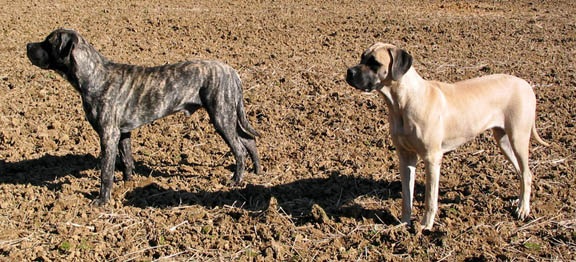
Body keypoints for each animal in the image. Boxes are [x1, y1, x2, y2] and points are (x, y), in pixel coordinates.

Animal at [346, 42, 548, 229]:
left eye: (375, 63)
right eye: (362, 57)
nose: (349, 72)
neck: (403, 101)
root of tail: (526, 84)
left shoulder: (432, 158)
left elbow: (430, 198)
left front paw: (425, 225)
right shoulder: (405, 156)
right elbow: (406, 196)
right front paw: (404, 223)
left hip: (518, 137)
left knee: (527, 173)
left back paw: (523, 209)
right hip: (503, 141)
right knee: (521, 172)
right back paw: (519, 201)